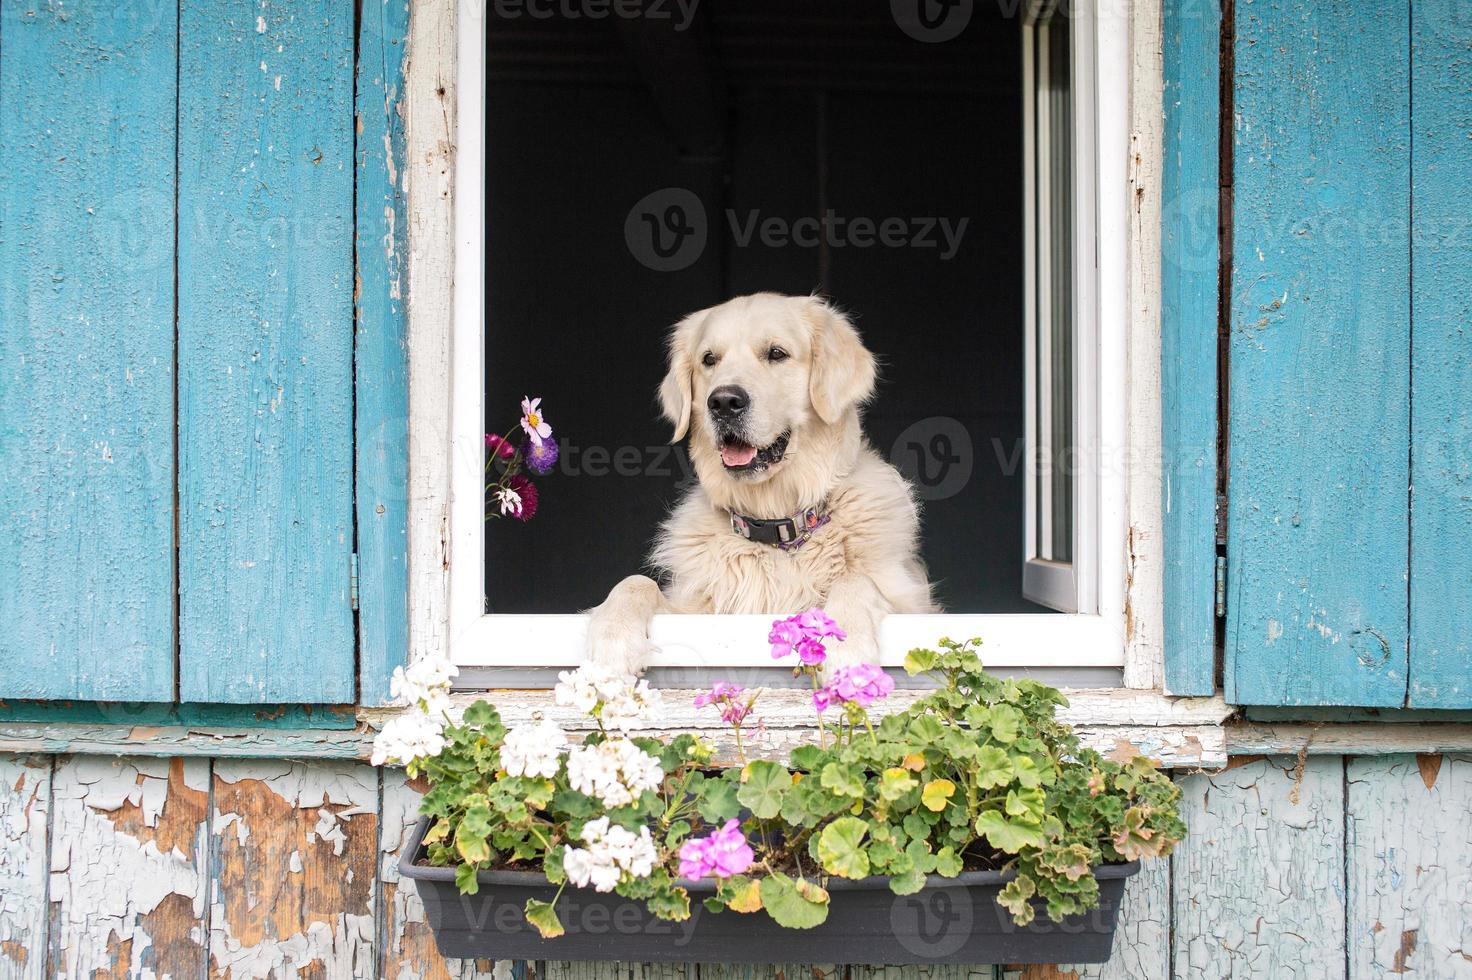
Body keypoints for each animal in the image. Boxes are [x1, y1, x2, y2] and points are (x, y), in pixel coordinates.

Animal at [582, 291, 930, 670]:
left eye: (776, 353)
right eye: (709, 359)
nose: (723, 402)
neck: (776, 525)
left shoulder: (915, 603)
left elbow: (855, 580)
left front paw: (847, 648)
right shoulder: (696, 608)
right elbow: (636, 582)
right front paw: (612, 639)